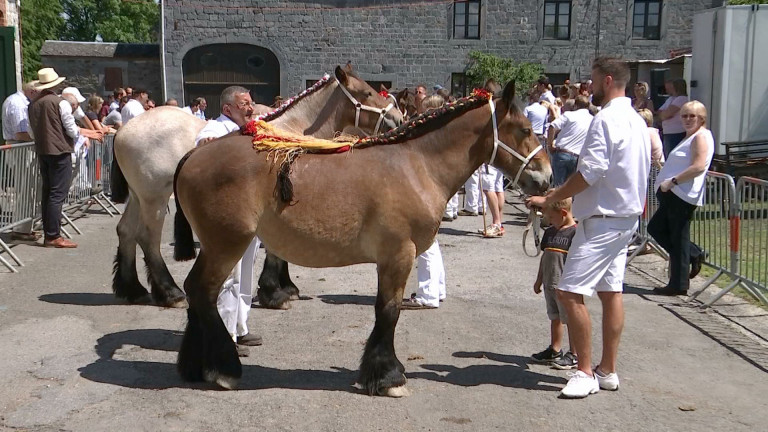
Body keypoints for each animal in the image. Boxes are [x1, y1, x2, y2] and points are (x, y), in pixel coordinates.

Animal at [112, 64, 408, 308]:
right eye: (368, 92)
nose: (398, 119)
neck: (291, 130)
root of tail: (124, 130)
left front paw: (284, 287)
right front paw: (275, 292)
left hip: (138, 197)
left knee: (126, 230)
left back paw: (133, 289)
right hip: (154, 198)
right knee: (147, 237)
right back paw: (170, 293)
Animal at [172, 81, 552, 394]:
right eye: (525, 129)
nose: (547, 177)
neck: (416, 166)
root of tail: (195, 153)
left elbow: (386, 311)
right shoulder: (398, 255)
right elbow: (388, 311)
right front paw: (388, 377)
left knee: (196, 291)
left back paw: (196, 366)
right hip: (226, 245)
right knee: (203, 292)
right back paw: (224, 369)